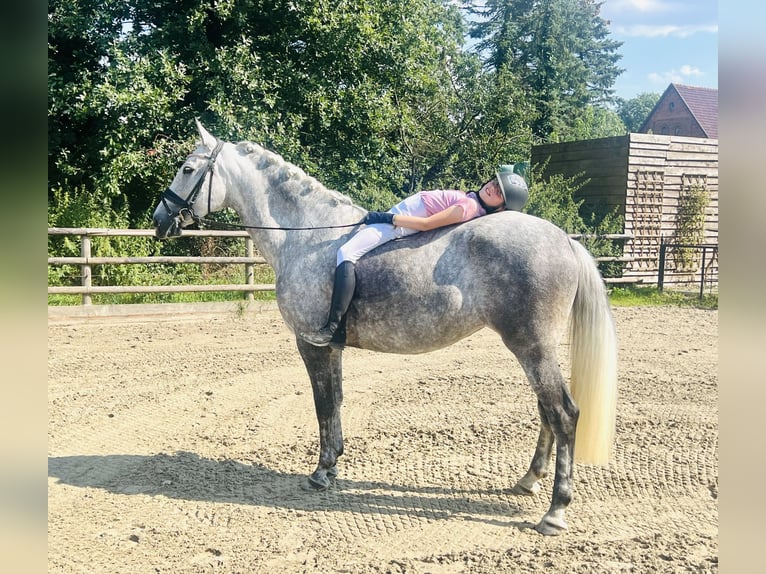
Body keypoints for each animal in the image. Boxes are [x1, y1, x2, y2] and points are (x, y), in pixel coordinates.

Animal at [152, 119, 616, 536]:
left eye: (188, 169)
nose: (159, 219)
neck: (308, 237)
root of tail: (564, 240)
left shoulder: (311, 345)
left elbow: (323, 405)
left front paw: (321, 472)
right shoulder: (333, 349)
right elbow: (337, 402)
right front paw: (333, 465)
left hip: (531, 347)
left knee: (564, 414)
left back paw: (555, 512)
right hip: (533, 349)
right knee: (546, 412)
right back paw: (527, 481)